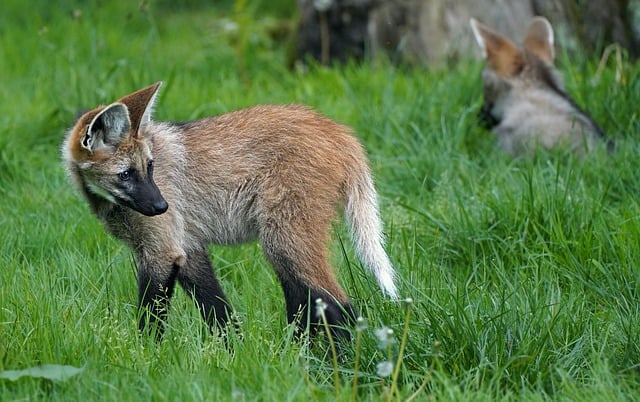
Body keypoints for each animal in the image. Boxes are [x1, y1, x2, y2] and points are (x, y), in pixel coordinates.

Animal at [62, 82, 398, 340]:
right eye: (126, 174)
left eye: (149, 167)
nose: (161, 206)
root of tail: (337, 130)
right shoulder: (186, 248)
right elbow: (219, 314)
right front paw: (234, 354)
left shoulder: (162, 251)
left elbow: (151, 320)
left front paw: (145, 358)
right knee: (305, 302)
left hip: (282, 238)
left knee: (339, 305)